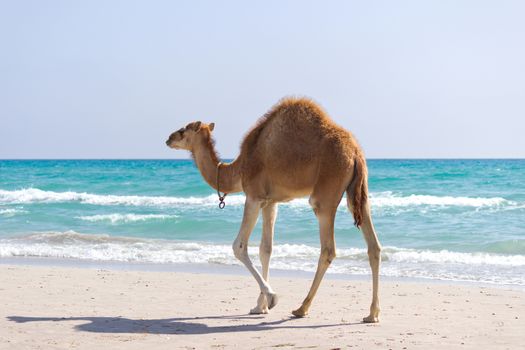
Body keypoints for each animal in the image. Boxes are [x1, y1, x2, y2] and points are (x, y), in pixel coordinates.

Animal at [167, 97, 380, 322]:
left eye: (183, 130)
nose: (168, 139)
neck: (238, 168)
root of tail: (356, 153)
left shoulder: (253, 197)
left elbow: (239, 246)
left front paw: (271, 298)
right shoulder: (270, 202)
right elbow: (266, 249)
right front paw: (259, 306)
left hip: (325, 195)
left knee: (328, 249)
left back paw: (302, 308)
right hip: (358, 194)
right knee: (373, 246)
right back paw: (372, 313)